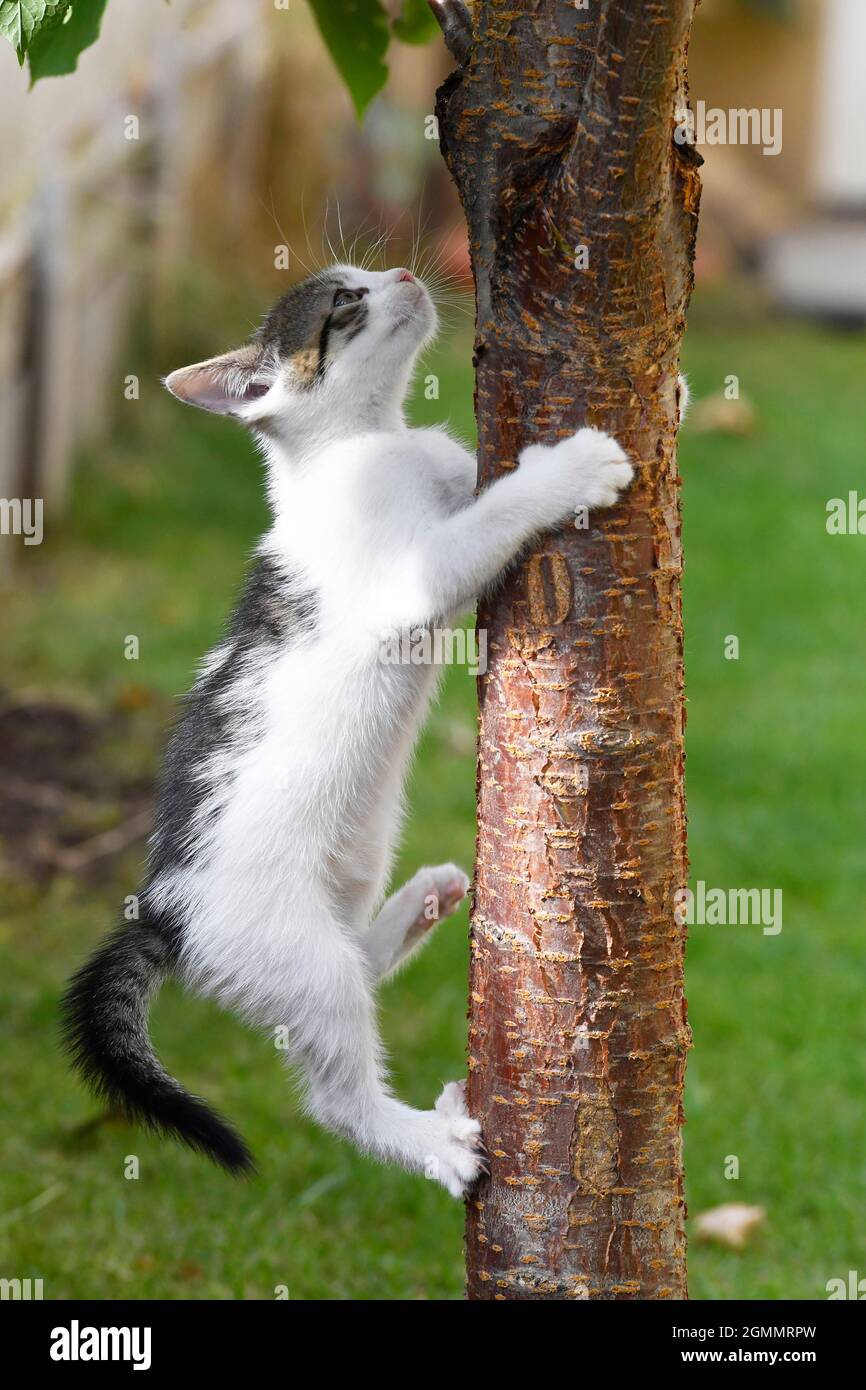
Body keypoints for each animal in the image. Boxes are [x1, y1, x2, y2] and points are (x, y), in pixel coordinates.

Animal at [59, 261, 631, 1195]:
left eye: (360, 277)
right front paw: (575, 467)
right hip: (290, 949)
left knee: (359, 958)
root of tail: (163, 911)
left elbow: (476, 486)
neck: (365, 443)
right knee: (334, 1091)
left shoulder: (447, 469)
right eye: (342, 303)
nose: (399, 271)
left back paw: (423, 903)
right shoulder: (408, 579)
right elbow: (487, 519)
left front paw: (674, 397)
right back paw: (430, 1141)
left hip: (355, 859)